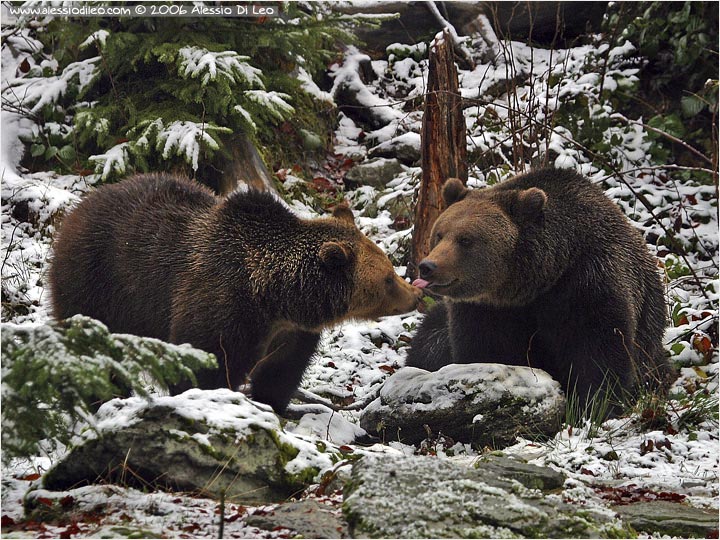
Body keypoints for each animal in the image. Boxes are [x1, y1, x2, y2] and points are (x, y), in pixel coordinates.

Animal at [49, 175, 422, 412]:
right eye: (388, 278)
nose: (415, 294)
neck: (276, 298)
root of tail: (79, 206)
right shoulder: (223, 305)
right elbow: (205, 362)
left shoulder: (291, 334)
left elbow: (280, 373)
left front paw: (271, 403)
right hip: (98, 282)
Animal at [410, 170, 676, 414]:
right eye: (439, 234)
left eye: (465, 240)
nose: (428, 267)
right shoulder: (484, 309)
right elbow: (482, 348)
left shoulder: (588, 282)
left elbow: (600, 350)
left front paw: (594, 406)